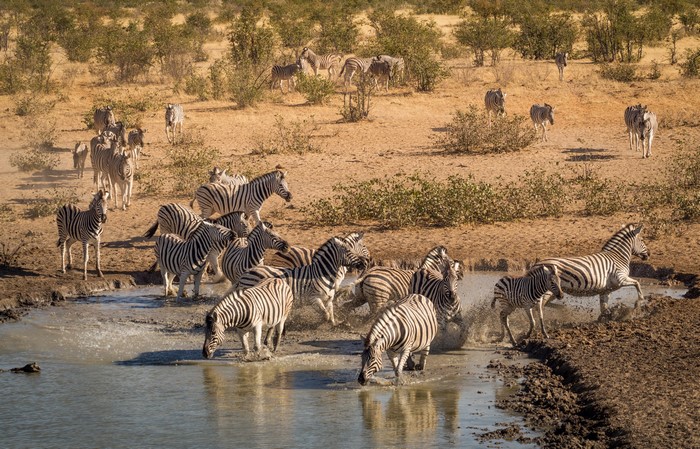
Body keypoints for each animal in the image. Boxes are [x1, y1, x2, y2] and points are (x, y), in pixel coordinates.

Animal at [236, 234, 370, 326]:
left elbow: (331, 314)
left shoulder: (328, 299)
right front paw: (322, 322)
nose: (365, 263)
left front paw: (335, 324)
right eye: (348, 251)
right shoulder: (313, 299)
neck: (323, 273)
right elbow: (326, 314)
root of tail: (247, 272)